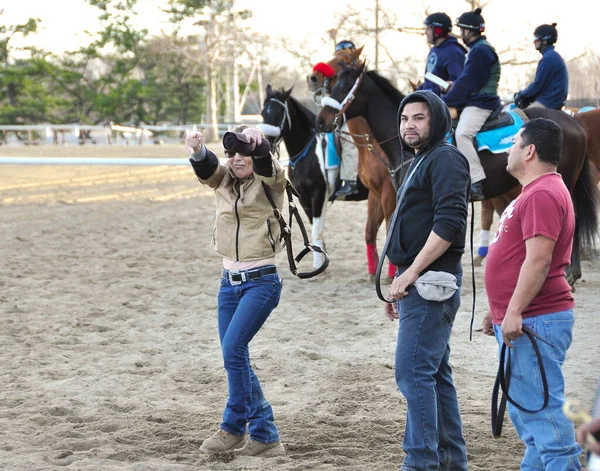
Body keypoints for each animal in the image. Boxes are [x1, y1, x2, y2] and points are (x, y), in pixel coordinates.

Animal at [258, 84, 328, 270]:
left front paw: (318, 265)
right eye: (262, 113)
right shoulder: (303, 197)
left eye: (278, 113)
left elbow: (316, 230)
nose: (266, 144)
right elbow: (313, 227)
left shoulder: (318, 194)